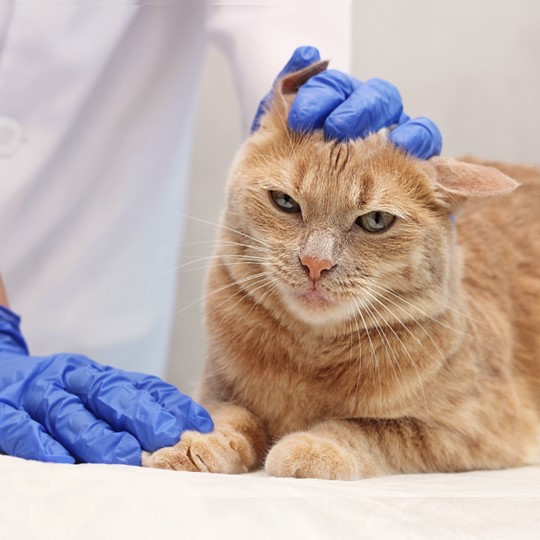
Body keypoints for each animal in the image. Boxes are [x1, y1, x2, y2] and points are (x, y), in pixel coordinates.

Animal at [142, 61, 540, 478]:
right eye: (285, 202)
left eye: (376, 221)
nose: (316, 262)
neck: (309, 356)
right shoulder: (218, 390)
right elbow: (225, 415)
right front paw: (193, 443)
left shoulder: (469, 432)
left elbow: (367, 429)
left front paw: (312, 446)